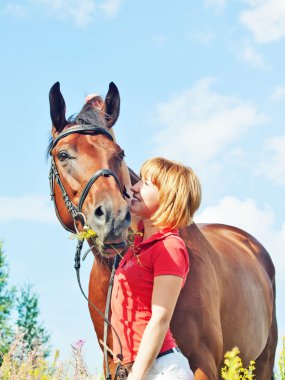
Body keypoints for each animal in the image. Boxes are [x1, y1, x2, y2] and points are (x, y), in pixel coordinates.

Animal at [47, 81, 276, 378]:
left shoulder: (203, 362)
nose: (113, 218)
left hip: (262, 361)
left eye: (119, 153)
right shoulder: (113, 364)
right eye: (63, 155)